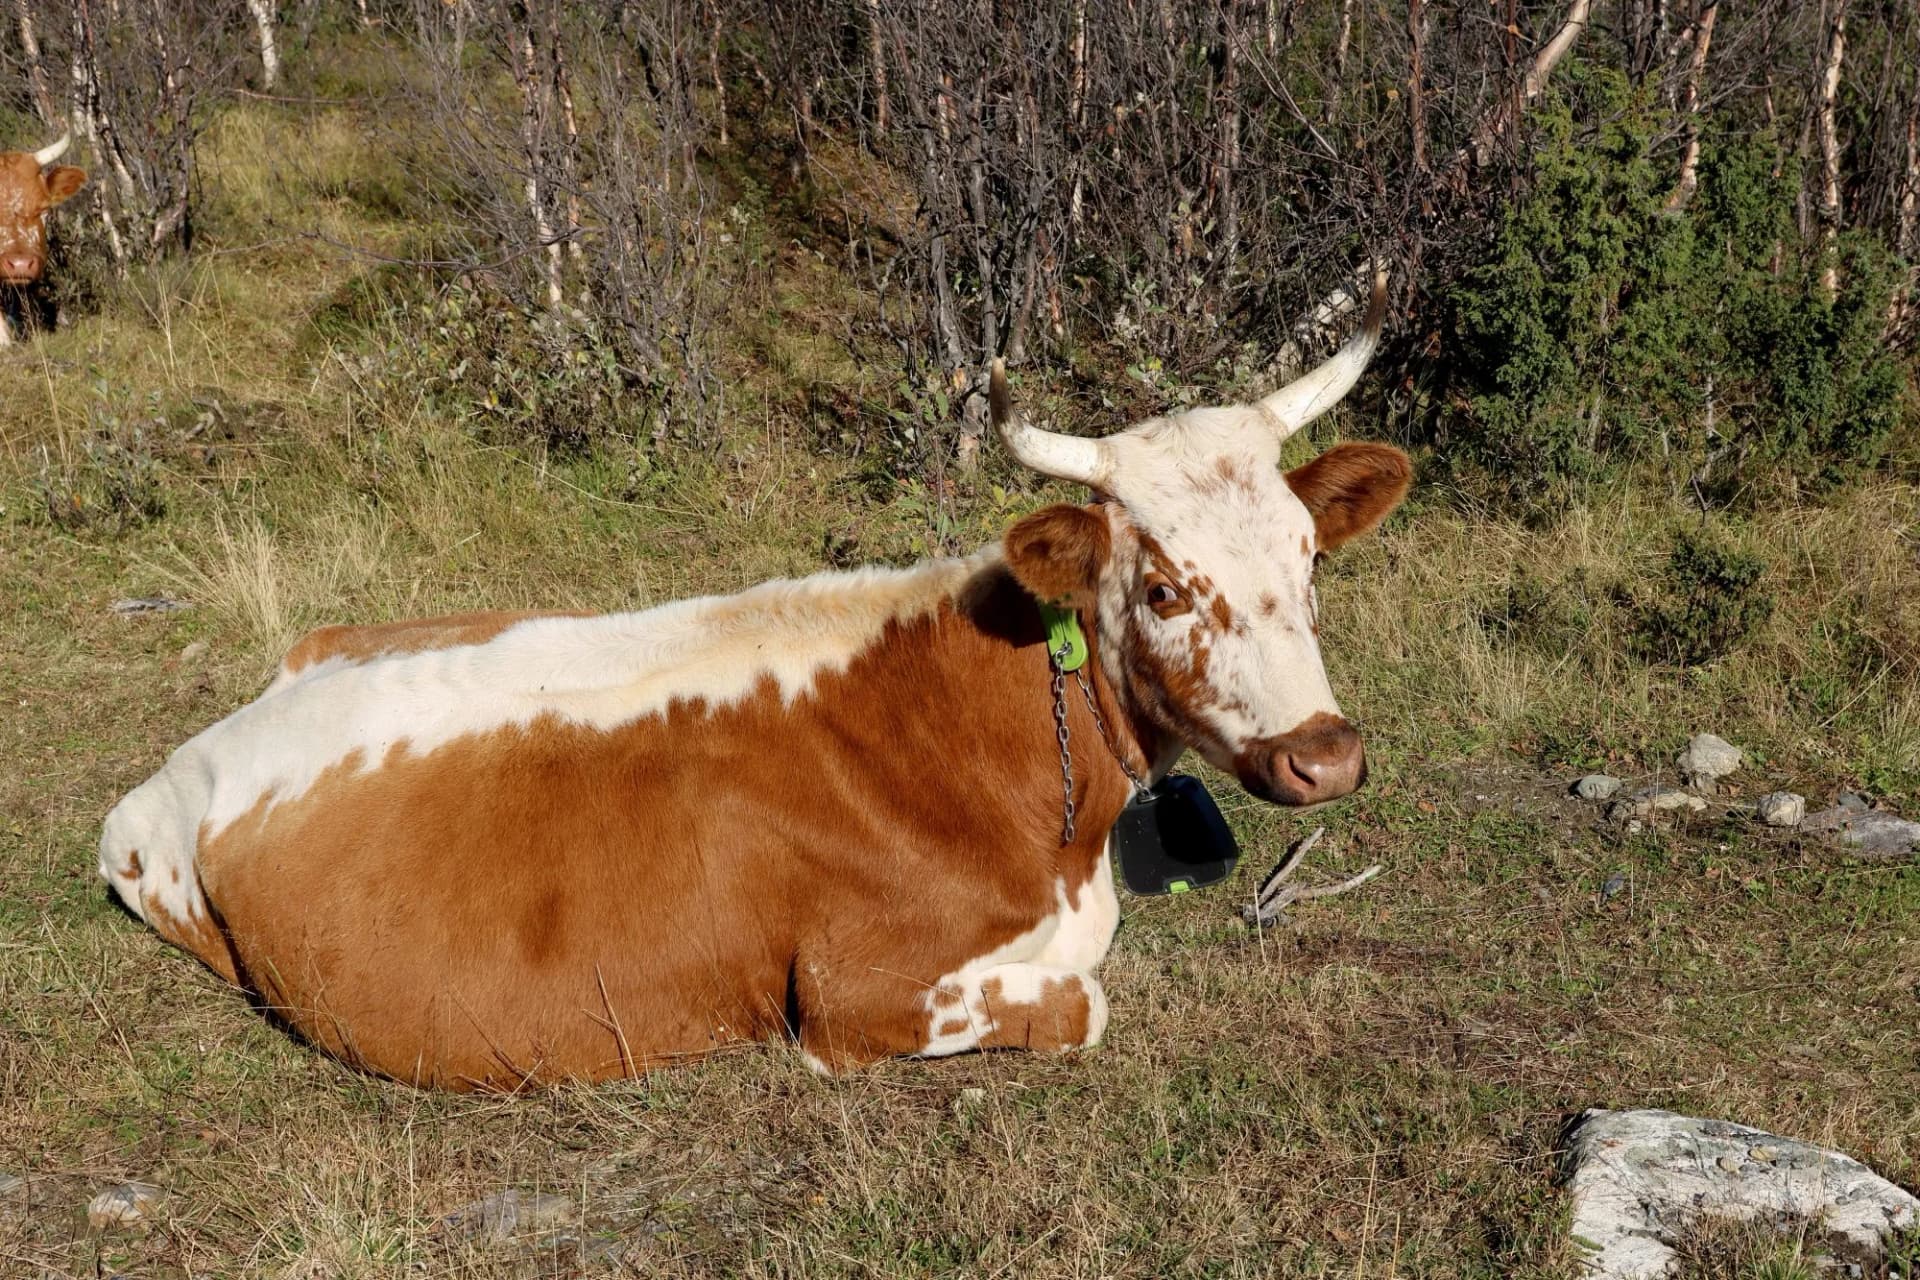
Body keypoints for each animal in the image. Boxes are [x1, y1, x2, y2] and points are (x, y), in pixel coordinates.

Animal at [99, 273, 1411, 1089]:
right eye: (1167, 590)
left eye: (1308, 556)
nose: (1324, 752)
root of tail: (227, 727)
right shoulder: (850, 994)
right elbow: (1086, 1001)